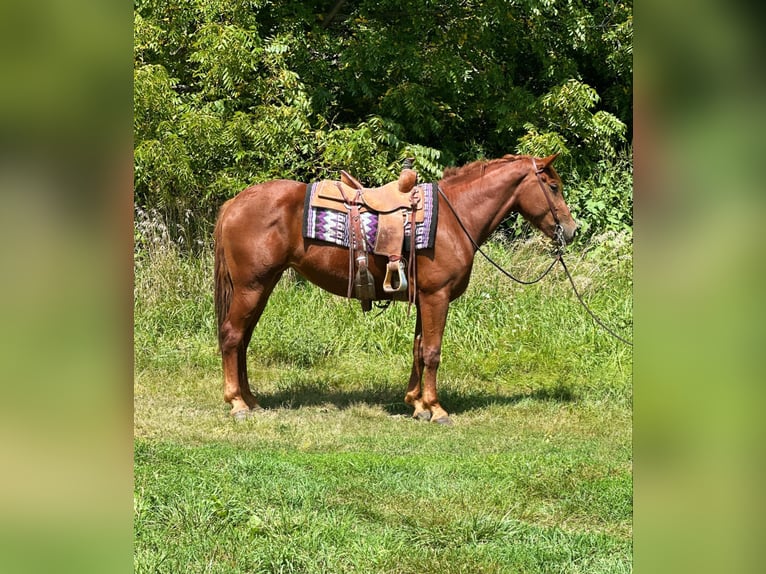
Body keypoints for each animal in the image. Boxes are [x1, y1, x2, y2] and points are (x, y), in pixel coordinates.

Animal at [214, 153, 577, 424]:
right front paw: (436, 409)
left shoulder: (424, 299)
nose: (571, 230)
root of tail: (234, 203)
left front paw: (416, 404)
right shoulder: (437, 298)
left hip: (262, 286)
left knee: (243, 339)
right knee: (232, 336)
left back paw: (251, 399)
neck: (453, 218)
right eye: (554, 186)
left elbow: (418, 349)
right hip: (251, 286)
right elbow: (433, 353)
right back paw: (237, 403)